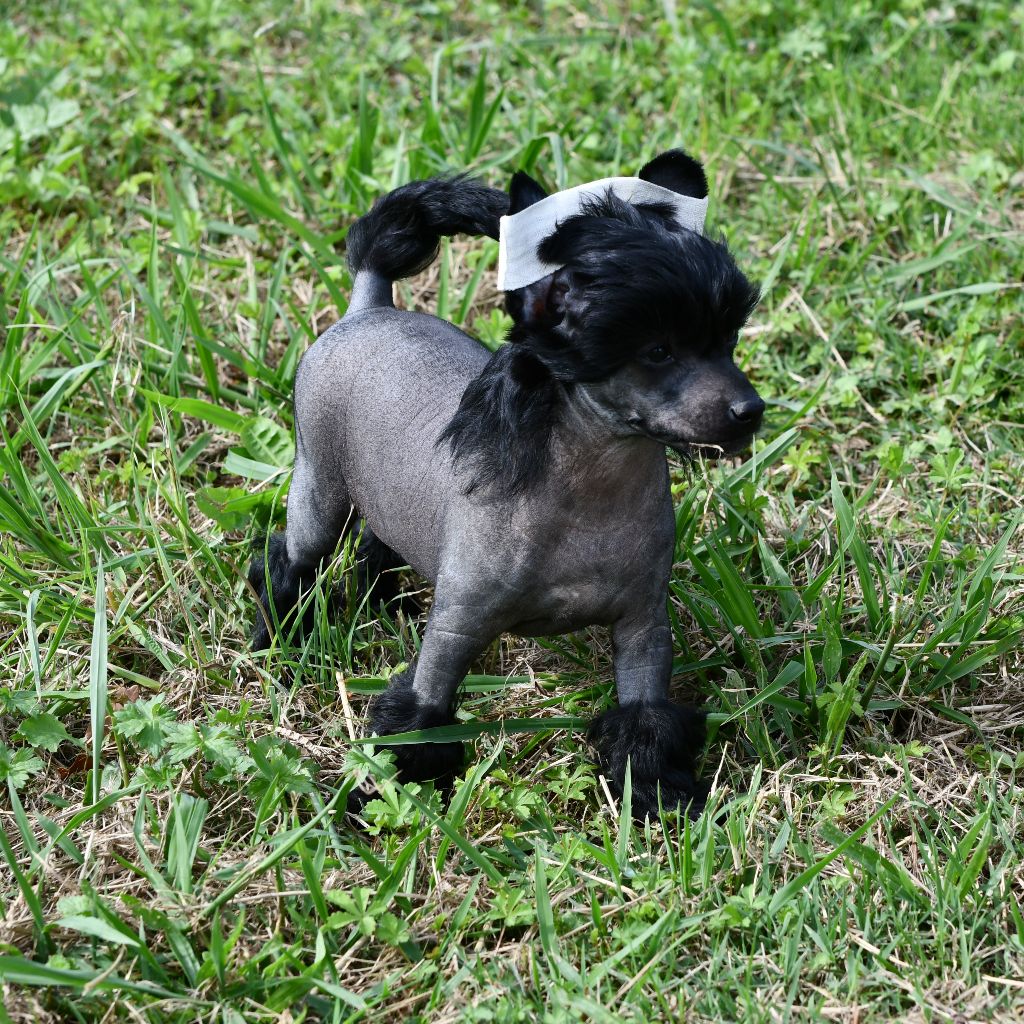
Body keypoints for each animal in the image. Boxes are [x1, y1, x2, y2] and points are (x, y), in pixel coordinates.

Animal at [249, 148, 761, 819]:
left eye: (728, 343)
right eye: (657, 351)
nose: (750, 411)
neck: (591, 490)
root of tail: (370, 304)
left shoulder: (644, 631)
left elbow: (645, 720)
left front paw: (654, 793)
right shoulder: (455, 631)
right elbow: (422, 716)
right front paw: (386, 799)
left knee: (377, 543)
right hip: (319, 493)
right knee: (290, 561)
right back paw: (279, 638)